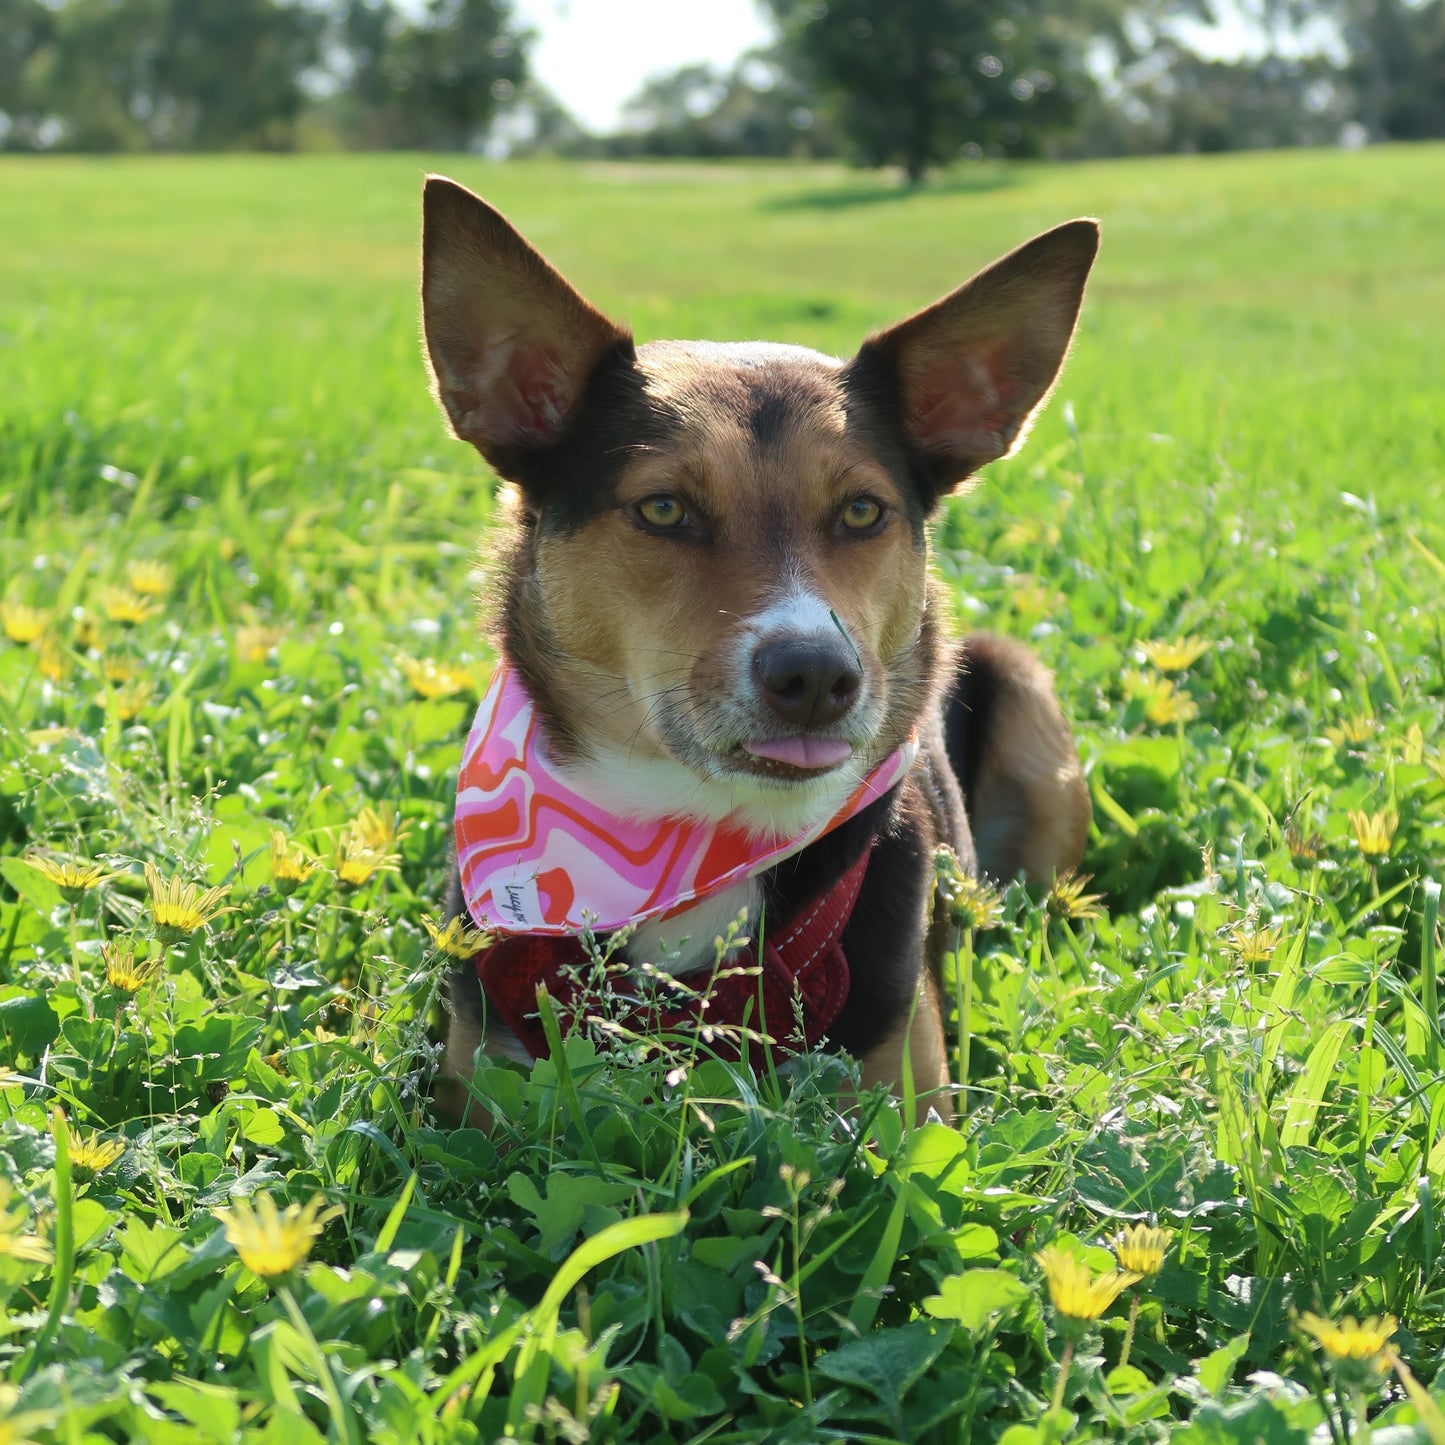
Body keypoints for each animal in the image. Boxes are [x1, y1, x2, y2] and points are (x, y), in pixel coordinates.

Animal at [421, 174, 1092, 1121]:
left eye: (862, 510)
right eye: (663, 508)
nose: (816, 674)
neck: (690, 829)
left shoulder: (902, 1094)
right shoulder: (475, 1087)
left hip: (1028, 711)